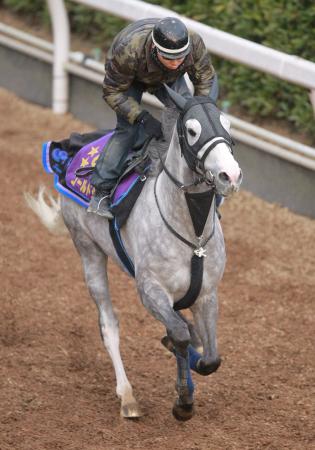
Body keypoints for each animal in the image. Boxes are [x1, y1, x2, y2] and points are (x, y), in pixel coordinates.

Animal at [25, 86, 243, 420]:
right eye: (192, 130)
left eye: (227, 125)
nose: (229, 175)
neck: (193, 237)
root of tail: (73, 151)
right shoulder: (150, 290)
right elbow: (180, 336)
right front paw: (183, 401)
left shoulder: (207, 295)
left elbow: (209, 357)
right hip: (87, 250)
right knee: (109, 325)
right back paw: (127, 397)